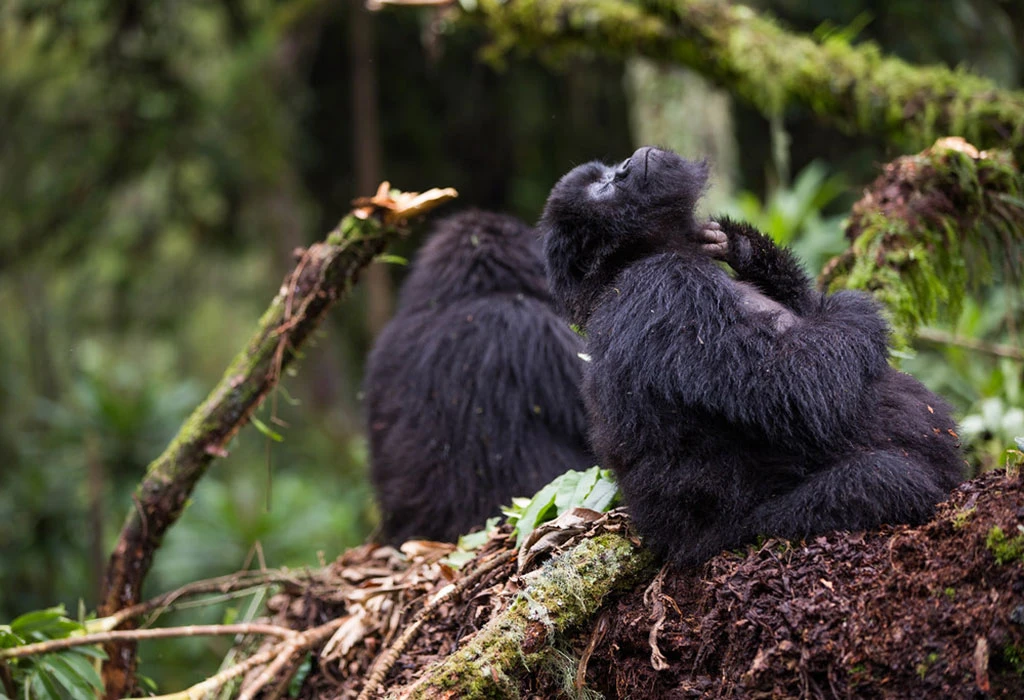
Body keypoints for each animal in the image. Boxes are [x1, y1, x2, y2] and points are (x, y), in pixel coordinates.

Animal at [538, 146, 964, 567]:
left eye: (609, 172)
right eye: (604, 188)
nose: (628, 163)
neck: (632, 261)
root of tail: (678, 550)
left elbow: (808, 308)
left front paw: (744, 246)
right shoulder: (665, 288)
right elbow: (795, 388)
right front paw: (854, 309)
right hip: (757, 530)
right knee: (882, 478)